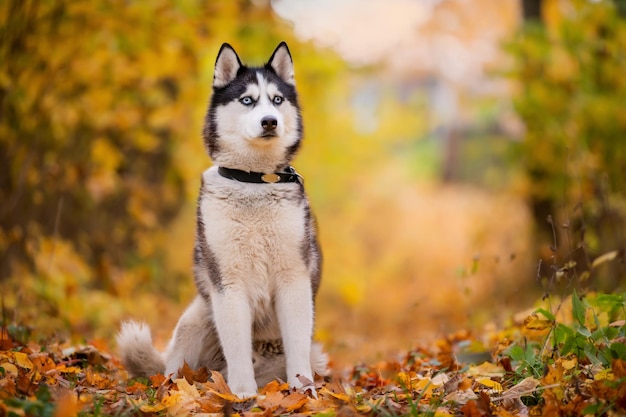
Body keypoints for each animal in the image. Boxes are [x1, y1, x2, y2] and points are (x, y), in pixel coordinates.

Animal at [119, 42, 330, 396]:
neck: (255, 181)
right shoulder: (228, 284)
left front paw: (304, 393)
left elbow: (298, 348)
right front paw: (243, 393)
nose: (270, 122)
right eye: (247, 100)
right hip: (198, 315)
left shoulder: (294, 279)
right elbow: (237, 347)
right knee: (177, 369)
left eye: (277, 100)